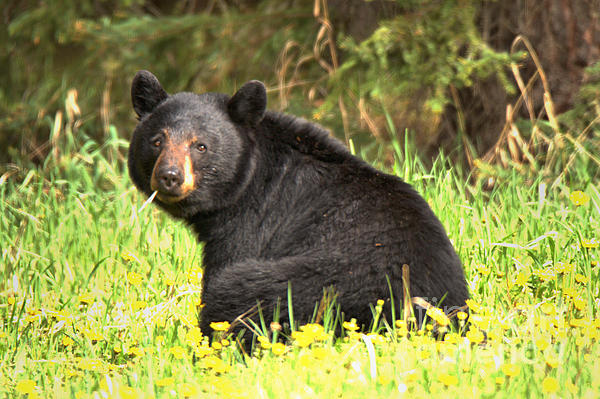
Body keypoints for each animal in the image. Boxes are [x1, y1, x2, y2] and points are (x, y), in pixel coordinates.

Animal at [129, 69, 468, 344]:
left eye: (200, 146)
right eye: (157, 141)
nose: (170, 176)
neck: (248, 182)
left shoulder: (251, 225)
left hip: (308, 286)